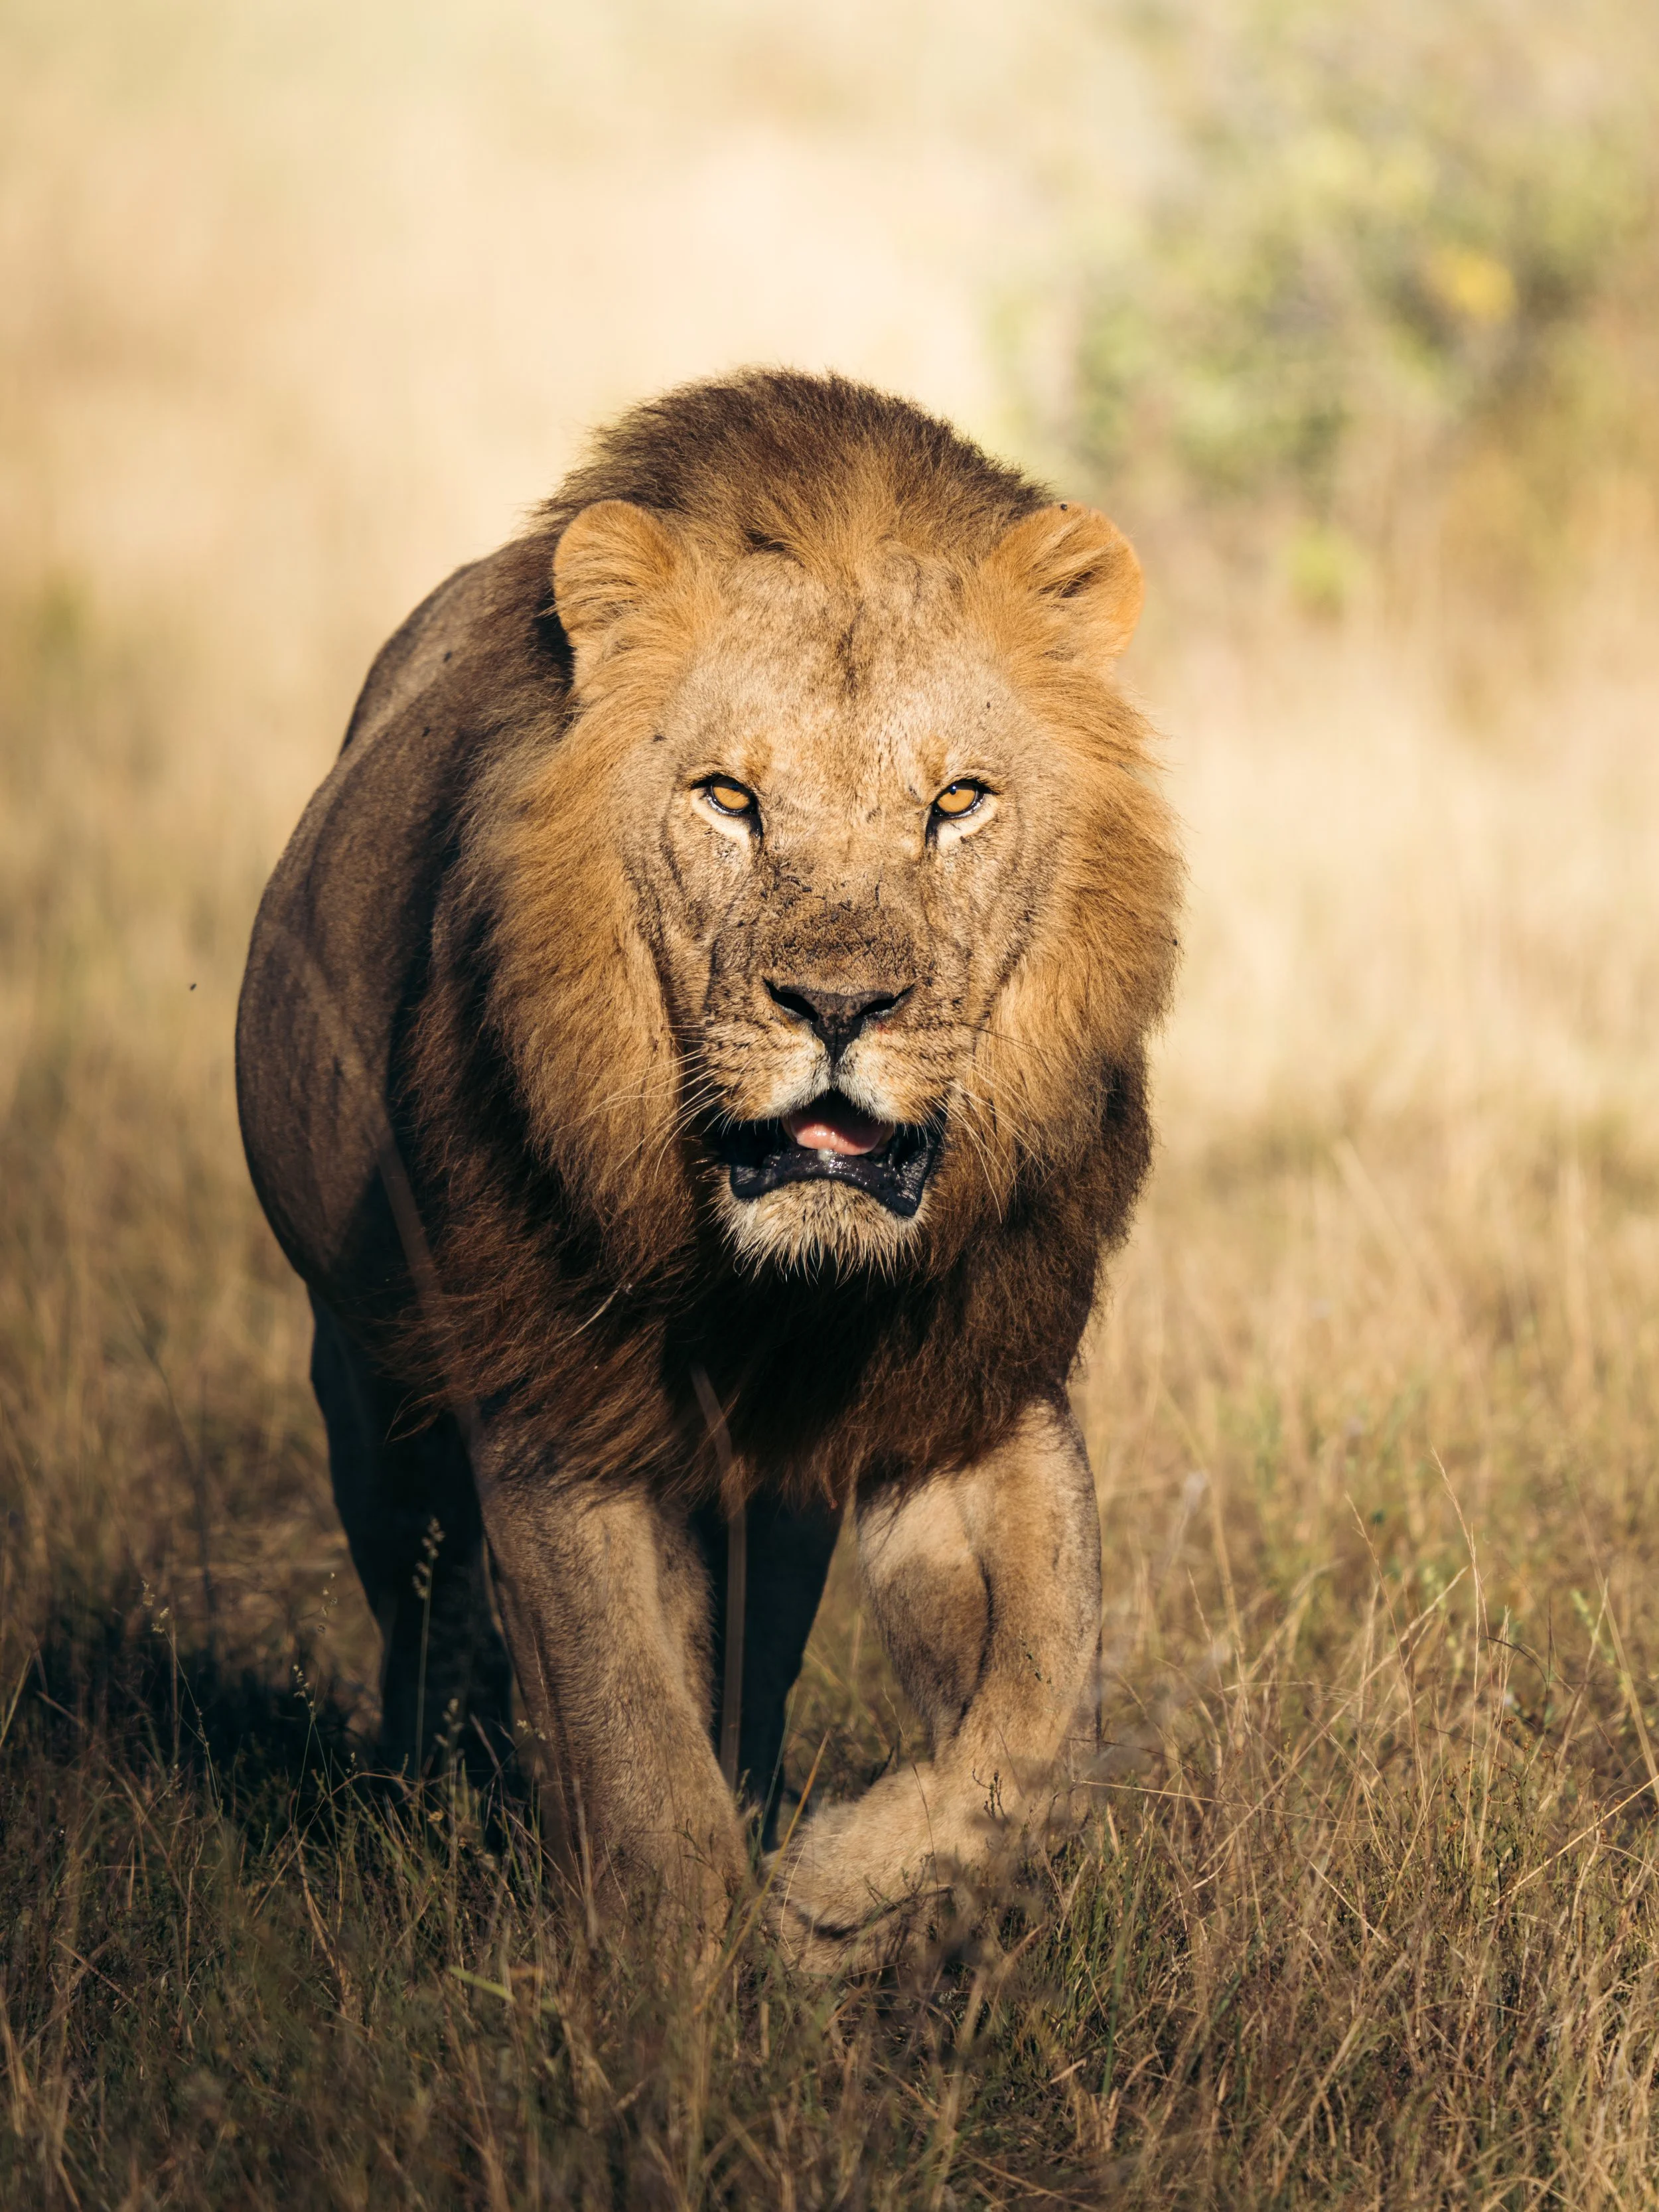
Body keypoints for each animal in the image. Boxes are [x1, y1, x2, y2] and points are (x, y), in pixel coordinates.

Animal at [236, 369, 1181, 1960]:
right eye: (728, 798)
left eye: (959, 801)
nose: (840, 1005)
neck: (780, 1289)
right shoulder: (552, 1409)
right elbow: (635, 1764)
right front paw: (677, 1997)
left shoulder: (974, 1380)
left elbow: (1041, 1715)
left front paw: (832, 1893)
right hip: (368, 1380)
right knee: (423, 1603)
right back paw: (435, 1802)